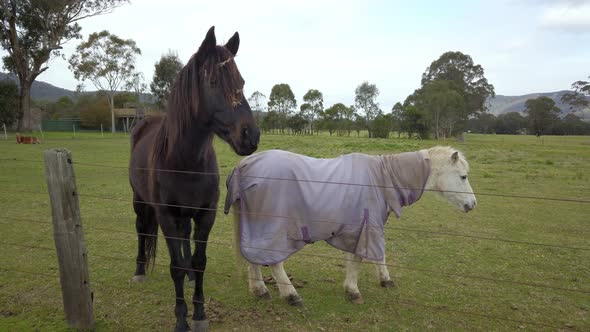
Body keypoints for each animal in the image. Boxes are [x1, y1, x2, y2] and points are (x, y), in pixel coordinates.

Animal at [131, 27, 260, 330]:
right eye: (212, 81)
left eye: (241, 82)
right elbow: (175, 266)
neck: (185, 162)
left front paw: (200, 313)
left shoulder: (205, 213)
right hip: (140, 201)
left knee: (184, 237)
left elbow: (200, 261)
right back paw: (140, 270)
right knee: (141, 228)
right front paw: (181, 318)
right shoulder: (165, 215)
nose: (250, 136)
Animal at [224, 147, 478, 308]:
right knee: (275, 261)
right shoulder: (367, 226)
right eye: (463, 176)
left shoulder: (361, 227)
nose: (473, 204)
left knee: (254, 257)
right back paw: (291, 296)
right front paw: (353, 291)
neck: (383, 178)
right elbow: (360, 258)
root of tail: (244, 165)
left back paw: (260, 291)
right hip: (273, 229)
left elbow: (374, 255)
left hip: (255, 226)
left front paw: (385, 280)